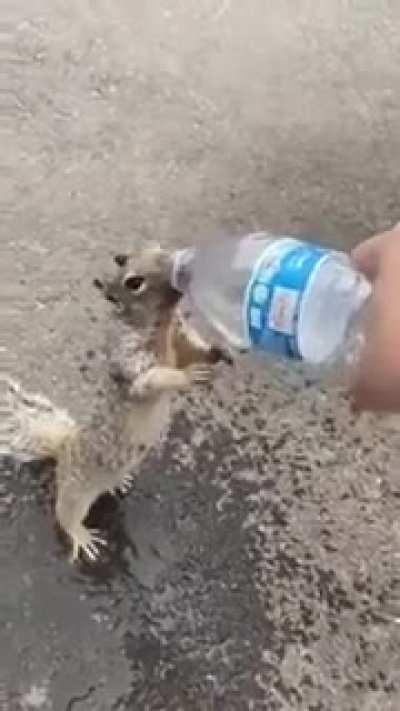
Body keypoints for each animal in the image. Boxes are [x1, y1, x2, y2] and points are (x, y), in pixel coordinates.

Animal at [0, 244, 231, 562]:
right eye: (134, 283)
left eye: (159, 248)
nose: (183, 268)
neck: (161, 326)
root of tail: (64, 448)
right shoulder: (130, 360)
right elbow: (153, 380)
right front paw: (186, 376)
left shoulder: (179, 338)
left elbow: (191, 350)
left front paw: (218, 350)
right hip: (76, 490)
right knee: (65, 515)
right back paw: (81, 535)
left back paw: (119, 482)